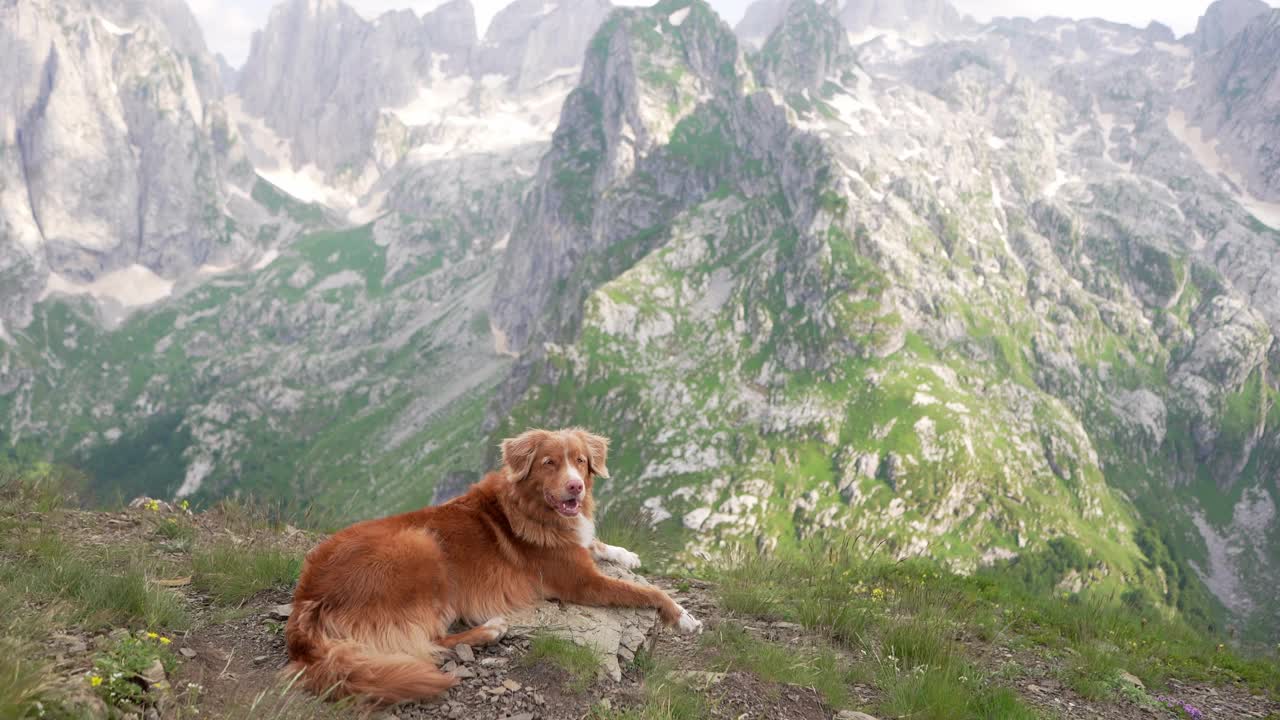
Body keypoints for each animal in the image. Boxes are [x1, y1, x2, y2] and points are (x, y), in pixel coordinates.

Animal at [282, 425, 701, 702]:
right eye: (549, 463)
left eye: (581, 461)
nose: (576, 487)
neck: (531, 509)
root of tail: (307, 596)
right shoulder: (582, 582)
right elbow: (647, 591)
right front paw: (683, 616)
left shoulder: (578, 549)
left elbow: (595, 543)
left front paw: (626, 554)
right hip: (422, 547)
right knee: (427, 641)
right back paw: (490, 630)